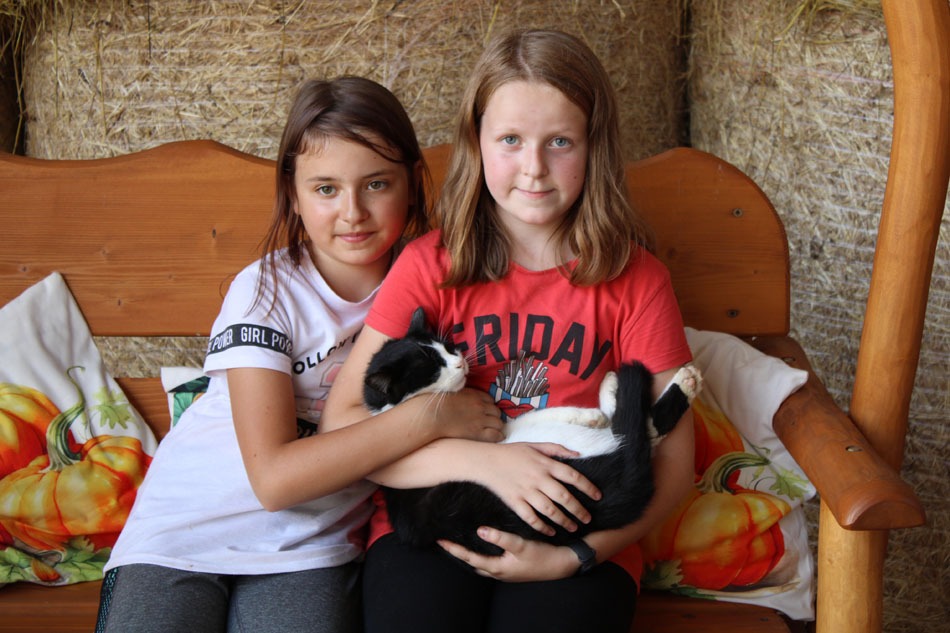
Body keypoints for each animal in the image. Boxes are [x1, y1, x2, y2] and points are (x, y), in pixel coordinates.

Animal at [363, 307, 701, 556]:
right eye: (434, 368)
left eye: (448, 348)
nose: (460, 363)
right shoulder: (506, 431)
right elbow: (542, 415)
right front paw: (590, 414)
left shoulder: (502, 427)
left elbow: (543, 411)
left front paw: (589, 413)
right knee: (639, 433)